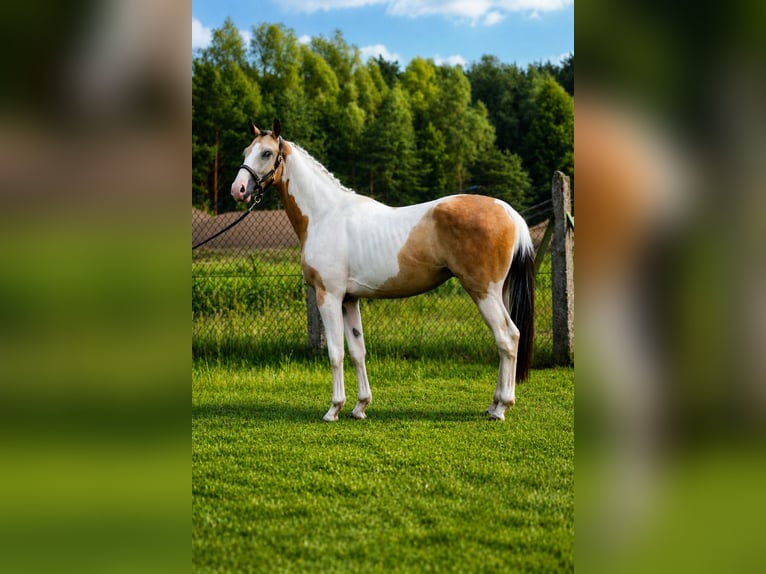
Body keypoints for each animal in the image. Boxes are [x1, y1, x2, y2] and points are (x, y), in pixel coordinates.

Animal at [231, 119, 535, 422]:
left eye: (267, 153)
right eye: (245, 151)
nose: (239, 190)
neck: (324, 214)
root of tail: (509, 212)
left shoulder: (328, 296)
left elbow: (336, 353)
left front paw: (334, 409)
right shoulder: (349, 300)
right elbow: (357, 352)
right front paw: (360, 407)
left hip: (483, 292)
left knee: (507, 338)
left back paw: (501, 407)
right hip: (499, 292)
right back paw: (493, 405)